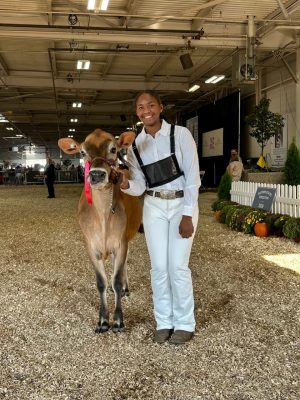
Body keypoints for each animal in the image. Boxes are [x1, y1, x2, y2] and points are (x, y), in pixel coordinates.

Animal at [58, 130, 143, 332]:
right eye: (82, 152)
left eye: (113, 149)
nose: (96, 174)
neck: (103, 215)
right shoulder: (91, 246)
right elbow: (101, 283)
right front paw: (103, 320)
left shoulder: (121, 243)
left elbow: (117, 280)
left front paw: (118, 321)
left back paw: (126, 289)